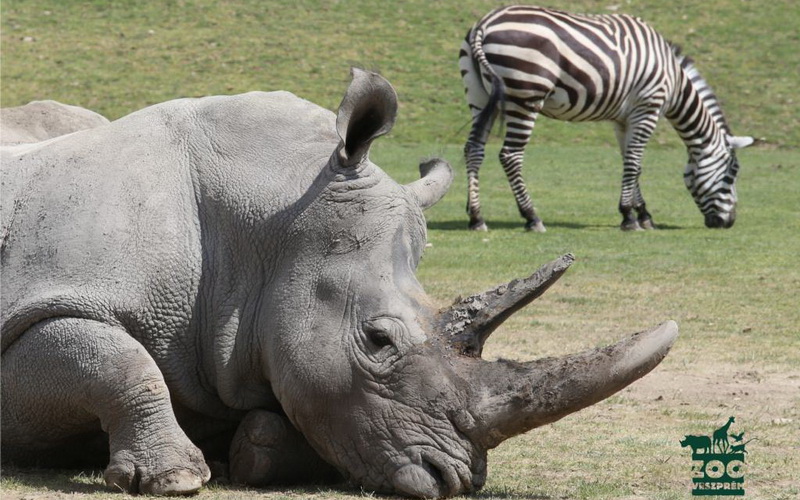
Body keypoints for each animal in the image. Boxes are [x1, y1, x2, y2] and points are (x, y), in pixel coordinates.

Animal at [460, 4, 752, 231]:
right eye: (732, 173)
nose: (728, 223)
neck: (674, 80)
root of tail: (485, 23)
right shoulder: (648, 108)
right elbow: (634, 162)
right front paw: (629, 217)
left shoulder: (623, 119)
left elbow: (631, 162)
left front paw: (642, 214)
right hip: (526, 95)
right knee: (510, 155)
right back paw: (532, 217)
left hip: (480, 96)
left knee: (474, 149)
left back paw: (477, 218)